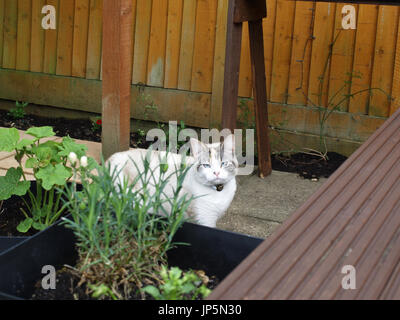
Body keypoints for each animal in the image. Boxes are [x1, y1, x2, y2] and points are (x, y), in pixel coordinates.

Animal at [106, 134, 238, 228]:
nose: (216, 173)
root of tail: (109, 160)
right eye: (206, 165)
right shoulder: (203, 219)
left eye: (223, 163)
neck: (218, 190)